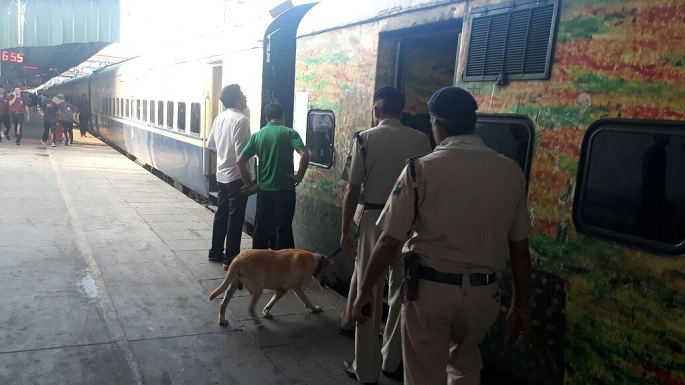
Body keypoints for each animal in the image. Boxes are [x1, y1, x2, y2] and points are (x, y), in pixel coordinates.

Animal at [208, 248, 336, 326]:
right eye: (333, 273)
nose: (336, 283)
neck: (316, 262)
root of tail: (237, 260)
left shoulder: (285, 289)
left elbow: (271, 302)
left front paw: (266, 312)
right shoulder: (291, 288)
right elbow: (306, 300)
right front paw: (315, 308)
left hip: (232, 286)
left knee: (223, 304)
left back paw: (222, 321)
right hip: (258, 289)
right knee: (250, 308)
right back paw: (257, 321)